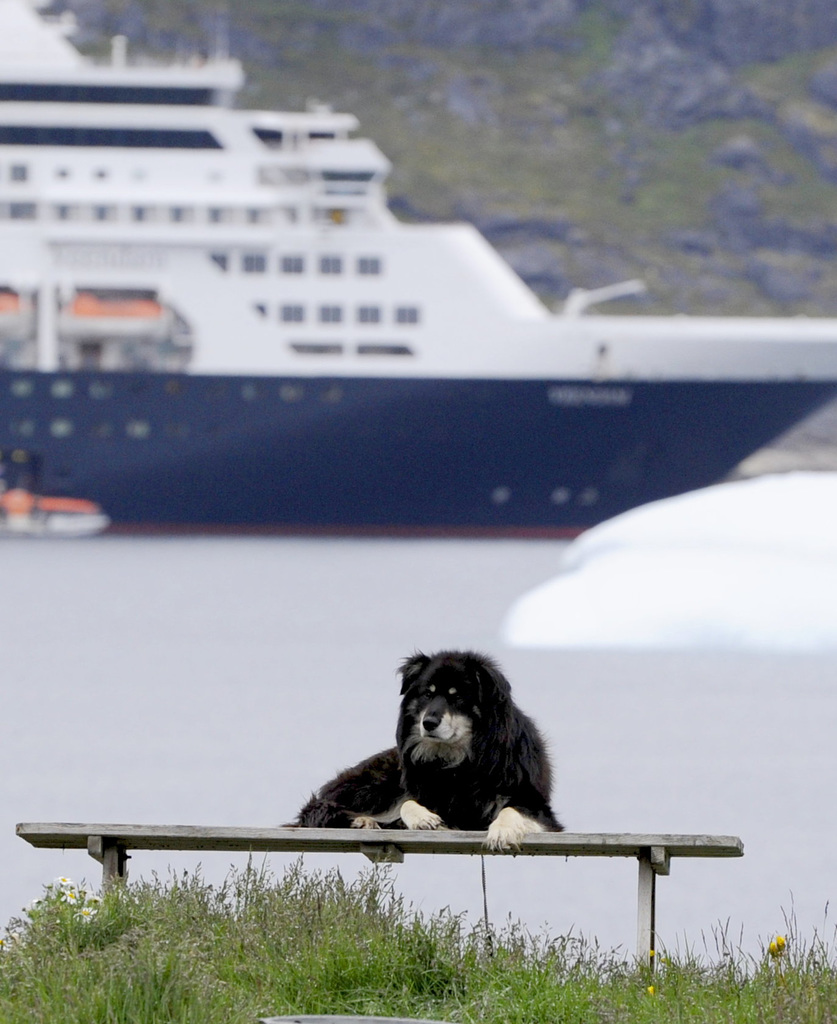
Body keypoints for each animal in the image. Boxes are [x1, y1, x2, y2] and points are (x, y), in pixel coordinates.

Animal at [293, 651, 561, 851]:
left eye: (457, 697)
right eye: (427, 694)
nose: (428, 723)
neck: (460, 763)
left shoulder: (538, 808)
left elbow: (510, 809)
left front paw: (501, 831)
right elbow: (409, 803)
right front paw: (424, 819)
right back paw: (362, 821)